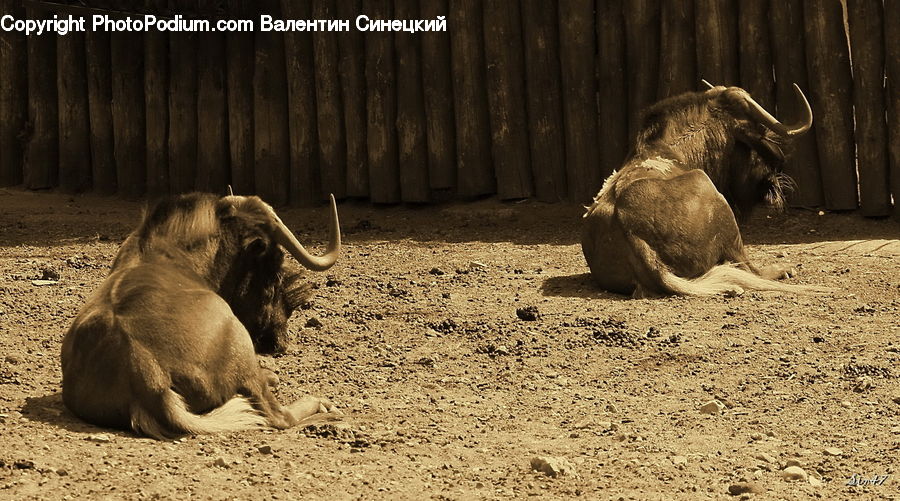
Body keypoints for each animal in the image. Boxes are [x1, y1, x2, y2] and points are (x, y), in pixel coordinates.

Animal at [61, 193, 342, 439]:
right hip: (241, 345)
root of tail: (145, 370)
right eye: (273, 270)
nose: (277, 342)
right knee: (278, 415)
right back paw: (322, 403)